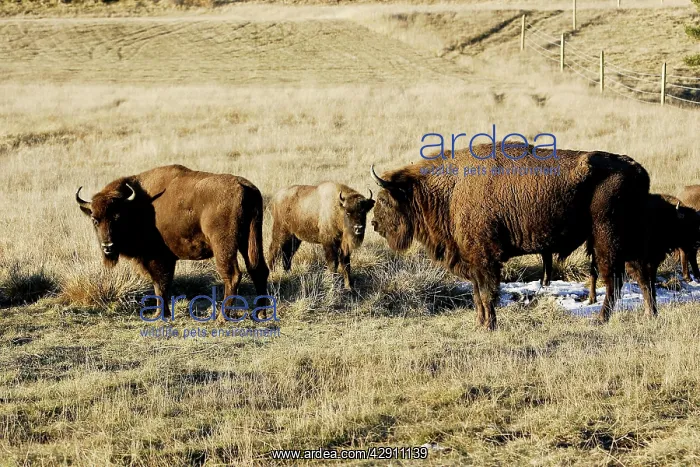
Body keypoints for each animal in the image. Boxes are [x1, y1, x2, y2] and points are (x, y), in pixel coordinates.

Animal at [76, 164, 269, 319]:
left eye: (117, 217)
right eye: (95, 220)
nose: (108, 247)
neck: (136, 205)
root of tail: (245, 188)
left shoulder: (157, 257)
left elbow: (160, 284)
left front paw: (160, 314)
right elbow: (163, 284)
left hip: (224, 246)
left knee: (232, 275)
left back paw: (222, 318)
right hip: (251, 240)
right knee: (258, 270)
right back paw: (260, 313)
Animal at [370, 143, 654, 330]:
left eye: (384, 199)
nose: (374, 224)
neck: (450, 188)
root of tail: (637, 170)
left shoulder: (484, 259)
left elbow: (486, 294)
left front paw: (488, 325)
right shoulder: (473, 261)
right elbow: (477, 295)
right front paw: (480, 324)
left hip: (606, 237)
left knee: (614, 279)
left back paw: (601, 319)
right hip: (629, 240)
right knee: (641, 275)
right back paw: (650, 315)